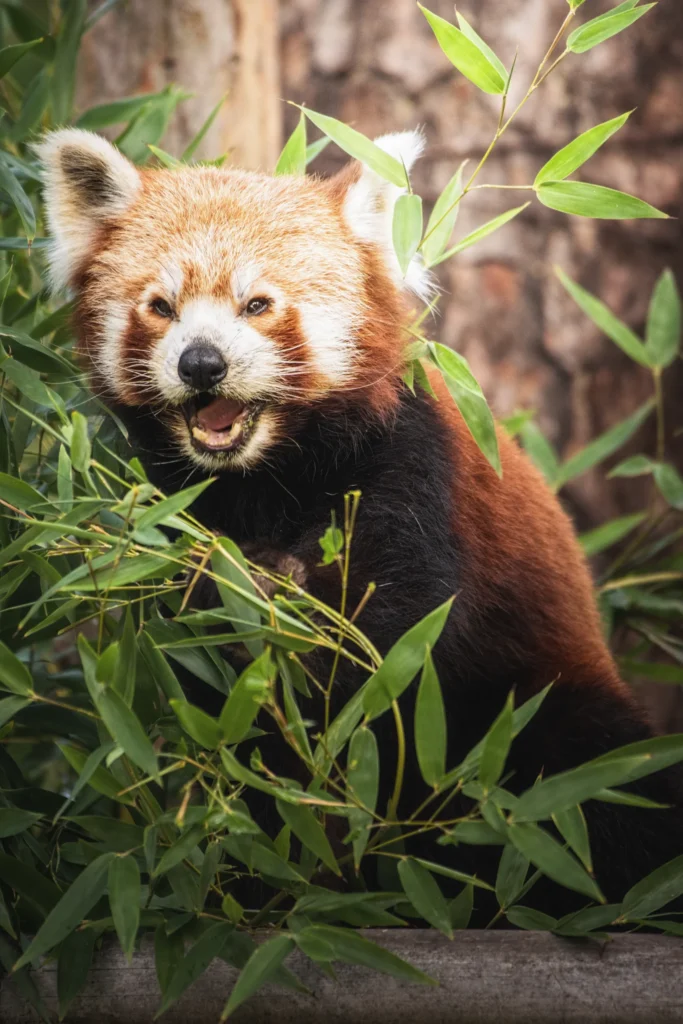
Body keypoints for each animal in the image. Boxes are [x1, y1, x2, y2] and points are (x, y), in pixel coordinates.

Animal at [37, 123, 683, 917]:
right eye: (161, 306)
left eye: (257, 304)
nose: (201, 363)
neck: (266, 472)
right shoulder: (165, 514)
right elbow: (211, 689)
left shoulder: (409, 467)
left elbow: (389, 647)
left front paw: (277, 597)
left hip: (546, 711)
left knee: (591, 787)